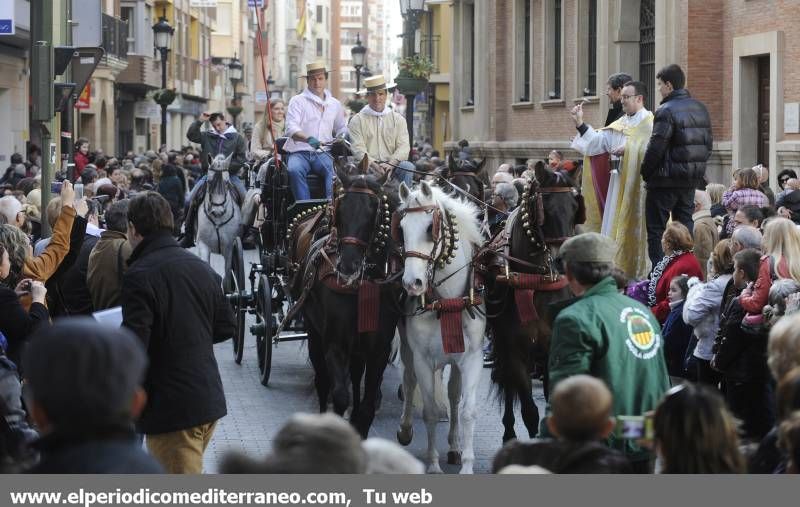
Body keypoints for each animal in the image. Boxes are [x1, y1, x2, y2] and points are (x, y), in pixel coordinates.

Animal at [196, 153, 241, 284]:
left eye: (226, 183)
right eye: (209, 182)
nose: (217, 211)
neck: (218, 220)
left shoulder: (229, 248)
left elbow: (227, 275)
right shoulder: (203, 245)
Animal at [396, 181, 488, 474]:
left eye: (430, 228)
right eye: (401, 229)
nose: (412, 283)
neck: (447, 300)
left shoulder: (472, 358)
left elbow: (467, 410)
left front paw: (467, 464)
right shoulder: (423, 359)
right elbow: (430, 412)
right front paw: (433, 464)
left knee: (454, 395)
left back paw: (455, 447)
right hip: (408, 349)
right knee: (409, 379)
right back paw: (405, 429)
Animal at [482, 164, 580, 444]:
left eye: (574, 206)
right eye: (544, 206)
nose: (562, 260)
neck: (536, 279)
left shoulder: (552, 347)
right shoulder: (514, 346)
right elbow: (529, 409)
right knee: (508, 385)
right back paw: (508, 431)